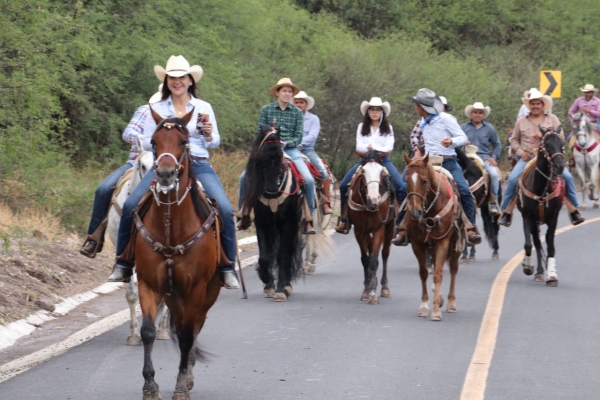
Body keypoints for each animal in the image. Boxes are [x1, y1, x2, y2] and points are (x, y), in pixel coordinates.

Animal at [134, 108, 223, 398]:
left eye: (184, 142)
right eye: (153, 142)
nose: (164, 174)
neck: (171, 228)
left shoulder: (196, 287)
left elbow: (186, 336)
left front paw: (181, 386)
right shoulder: (148, 283)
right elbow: (148, 331)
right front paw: (150, 386)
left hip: (208, 293)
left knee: (194, 328)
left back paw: (189, 373)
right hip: (173, 295)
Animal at [244, 125, 318, 300]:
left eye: (280, 158)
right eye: (261, 157)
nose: (272, 188)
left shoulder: (288, 224)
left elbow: (283, 255)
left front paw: (280, 290)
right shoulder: (262, 224)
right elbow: (265, 257)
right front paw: (267, 283)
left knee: (288, 252)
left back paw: (286, 285)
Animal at [344, 150, 396, 304]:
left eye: (381, 172)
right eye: (363, 172)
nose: (374, 199)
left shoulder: (379, 229)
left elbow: (373, 260)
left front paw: (372, 293)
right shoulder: (359, 230)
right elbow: (365, 260)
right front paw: (367, 291)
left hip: (390, 227)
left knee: (384, 254)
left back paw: (384, 287)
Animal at [406, 153, 466, 322]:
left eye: (424, 181)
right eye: (406, 180)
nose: (415, 213)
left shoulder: (443, 242)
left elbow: (438, 274)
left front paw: (436, 311)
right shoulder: (417, 244)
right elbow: (424, 273)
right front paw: (424, 306)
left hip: (455, 245)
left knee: (453, 269)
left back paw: (451, 302)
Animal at [516, 126, 564, 286]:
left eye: (562, 143)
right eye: (547, 145)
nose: (559, 167)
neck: (541, 189)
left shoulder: (553, 219)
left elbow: (551, 247)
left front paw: (552, 275)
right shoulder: (527, 217)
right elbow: (528, 244)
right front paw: (528, 266)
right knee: (536, 242)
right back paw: (538, 271)